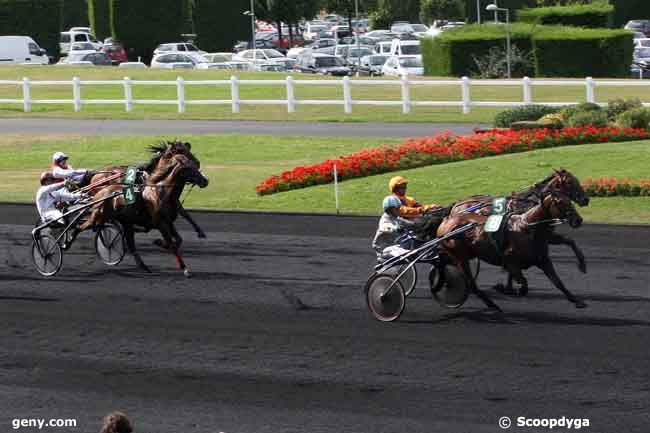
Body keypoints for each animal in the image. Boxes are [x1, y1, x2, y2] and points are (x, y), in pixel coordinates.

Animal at [79, 143, 209, 276]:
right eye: (179, 151)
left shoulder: (170, 213)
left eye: (188, 150)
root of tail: (96, 174)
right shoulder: (161, 219)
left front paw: (199, 232)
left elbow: (183, 220)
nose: (198, 163)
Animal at [436, 189, 584, 310]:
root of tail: (446, 221)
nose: (578, 220)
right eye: (560, 202)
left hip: (464, 254)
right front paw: (505, 289)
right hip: (460, 257)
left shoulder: (543, 259)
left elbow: (558, 282)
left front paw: (577, 299)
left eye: (569, 200)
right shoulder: (511, 261)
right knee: (471, 284)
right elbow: (523, 284)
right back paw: (492, 304)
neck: (526, 228)